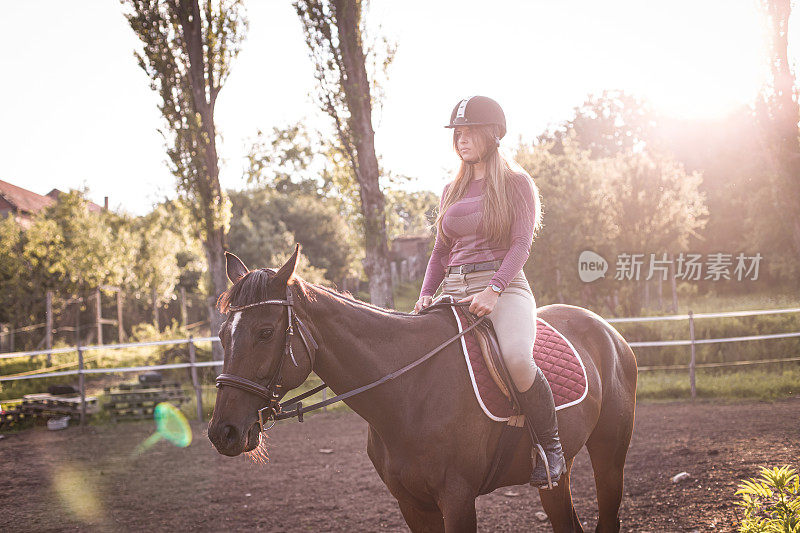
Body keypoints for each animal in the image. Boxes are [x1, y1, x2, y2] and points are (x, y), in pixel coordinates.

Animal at [206, 247, 636, 528]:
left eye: (265, 332)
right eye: (224, 335)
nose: (221, 432)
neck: (409, 392)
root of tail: (607, 330)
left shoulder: (457, 498)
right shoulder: (411, 504)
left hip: (609, 455)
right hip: (555, 478)